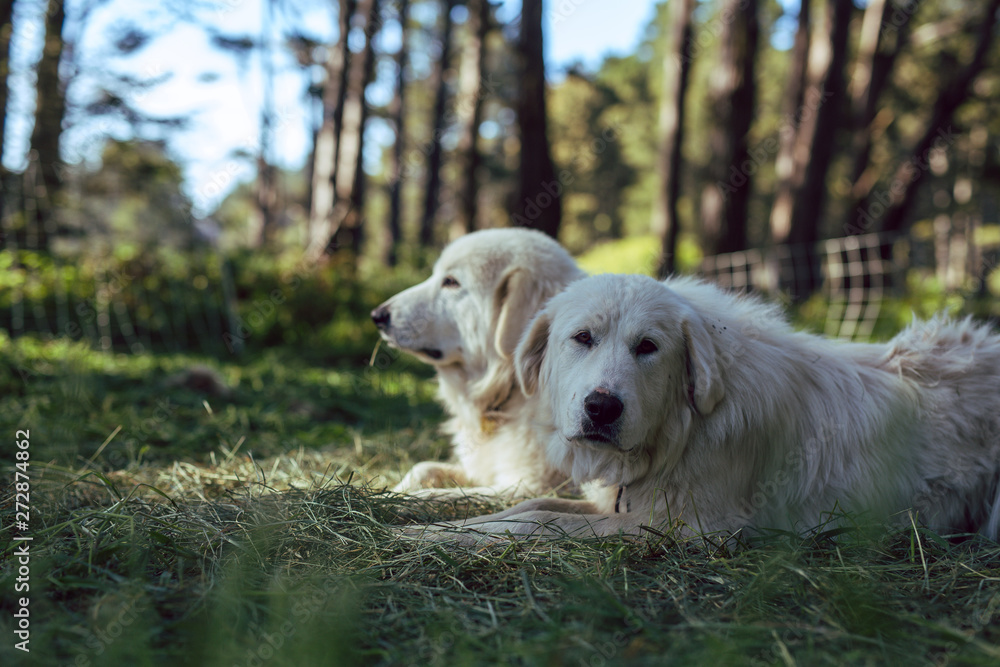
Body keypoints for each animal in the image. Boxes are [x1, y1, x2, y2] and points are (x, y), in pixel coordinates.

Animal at [372, 228, 584, 496]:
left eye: (451, 281)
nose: (377, 315)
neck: (510, 389)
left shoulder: (528, 487)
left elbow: (434, 494)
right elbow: (421, 468)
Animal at [418, 276, 1000, 544]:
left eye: (648, 347)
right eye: (582, 338)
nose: (602, 408)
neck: (682, 429)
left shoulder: (686, 527)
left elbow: (536, 522)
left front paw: (420, 536)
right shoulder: (626, 505)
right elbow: (526, 507)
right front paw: (431, 531)